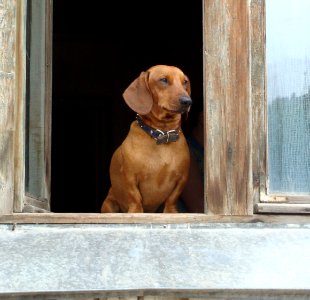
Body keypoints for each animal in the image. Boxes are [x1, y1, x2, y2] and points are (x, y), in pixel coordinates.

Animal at [100, 64, 191, 212]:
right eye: (163, 80)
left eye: (185, 82)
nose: (187, 101)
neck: (162, 134)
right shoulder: (130, 177)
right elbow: (135, 197)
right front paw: (136, 212)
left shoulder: (182, 178)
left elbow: (172, 199)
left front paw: (171, 212)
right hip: (109, 204)